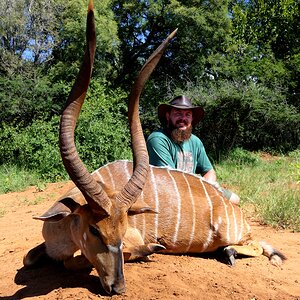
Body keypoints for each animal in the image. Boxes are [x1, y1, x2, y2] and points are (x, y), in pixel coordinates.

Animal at [23, 0, 286, 296]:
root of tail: (234, 210)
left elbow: (88, 259)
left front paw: (151, 249)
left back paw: (229, 252)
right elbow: (30, 257)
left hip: (237, 234)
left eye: (122, 230)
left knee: (255, 245)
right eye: (94, 229)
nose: (118, 287)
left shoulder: (131, 239)